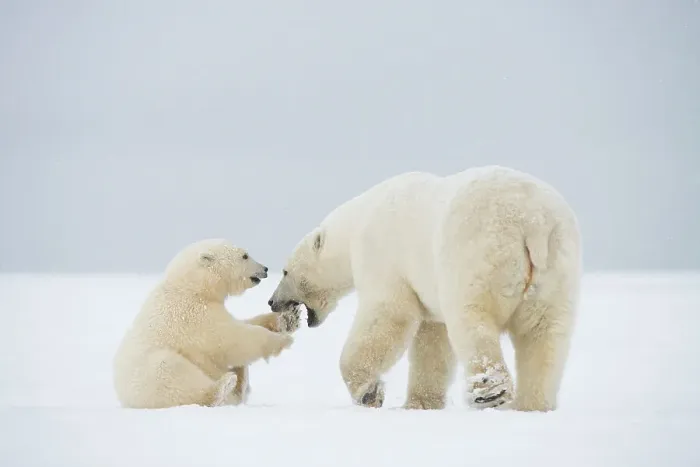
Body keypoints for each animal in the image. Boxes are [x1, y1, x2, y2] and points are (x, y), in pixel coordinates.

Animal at [113, 238, 300, 409]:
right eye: (245, 256)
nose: (265, 269)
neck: (189, 287)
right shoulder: (191, 315)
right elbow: (230, 337)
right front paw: (282, 341)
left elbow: (240, 323)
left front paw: (288, 319)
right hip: (151, 375)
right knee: (174, 375)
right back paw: (225, 385)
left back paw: (239, 377)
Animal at [267, 165, 581, 412]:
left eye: (286, 271)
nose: (272, 301)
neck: (359, 220)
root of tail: (532, 221)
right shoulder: (424, 286)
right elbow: (432, 340)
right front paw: (419, 403)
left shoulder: (383, 256)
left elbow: (388, 316)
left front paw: (369, 392)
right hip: (557, 264)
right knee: (544, 333)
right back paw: (531, 404)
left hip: (477, 253)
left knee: (472, 318)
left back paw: (490, 393)